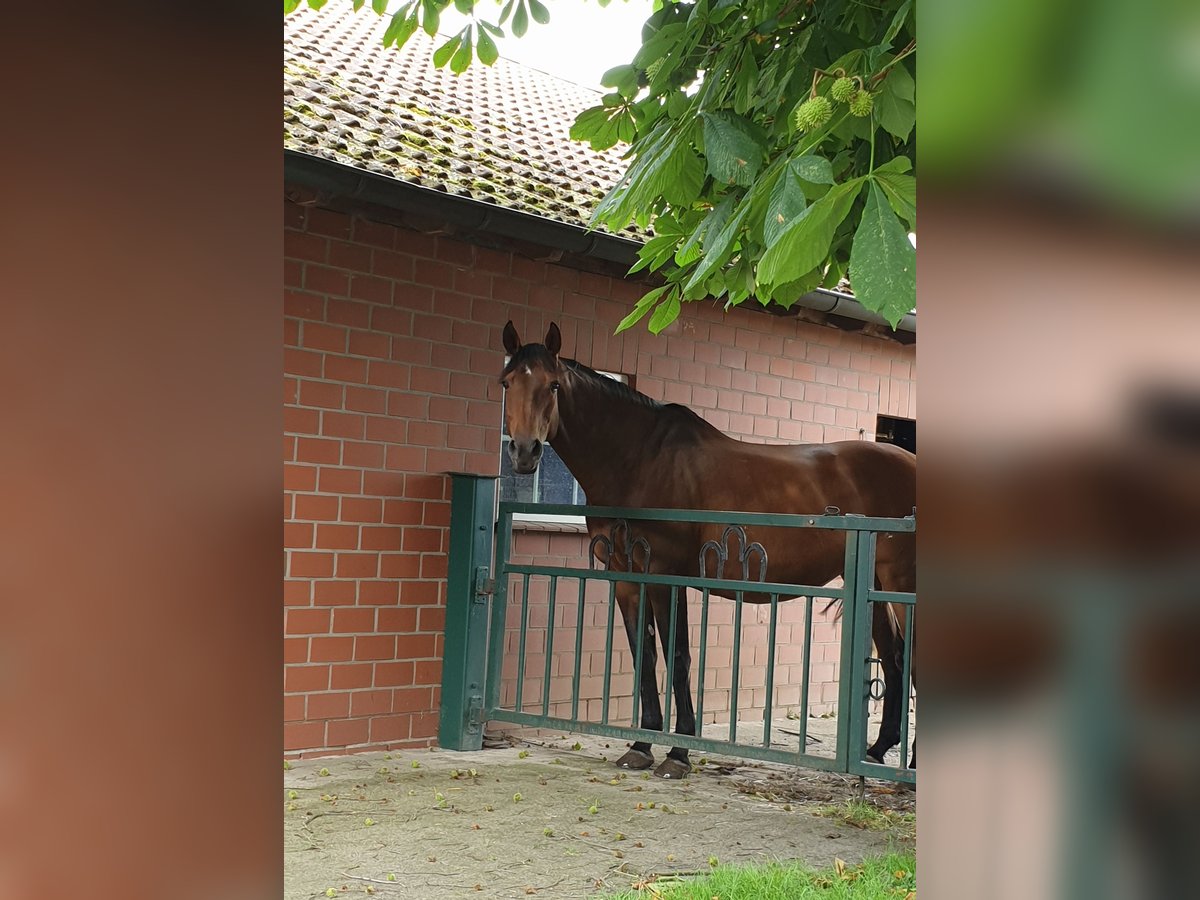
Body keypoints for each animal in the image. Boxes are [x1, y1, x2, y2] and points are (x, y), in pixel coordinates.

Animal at [501, 321, 912, 777]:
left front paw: (678, 751)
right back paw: (877, 751)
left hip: (902, 581)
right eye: (506, 382)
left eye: (553, 385)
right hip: (876, 586)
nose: (524, 452)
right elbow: (644, 655)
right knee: (894, 657)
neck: (639, 460)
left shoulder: (665, 576)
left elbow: (678, 656)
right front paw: (641, 745)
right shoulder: (625, 578)